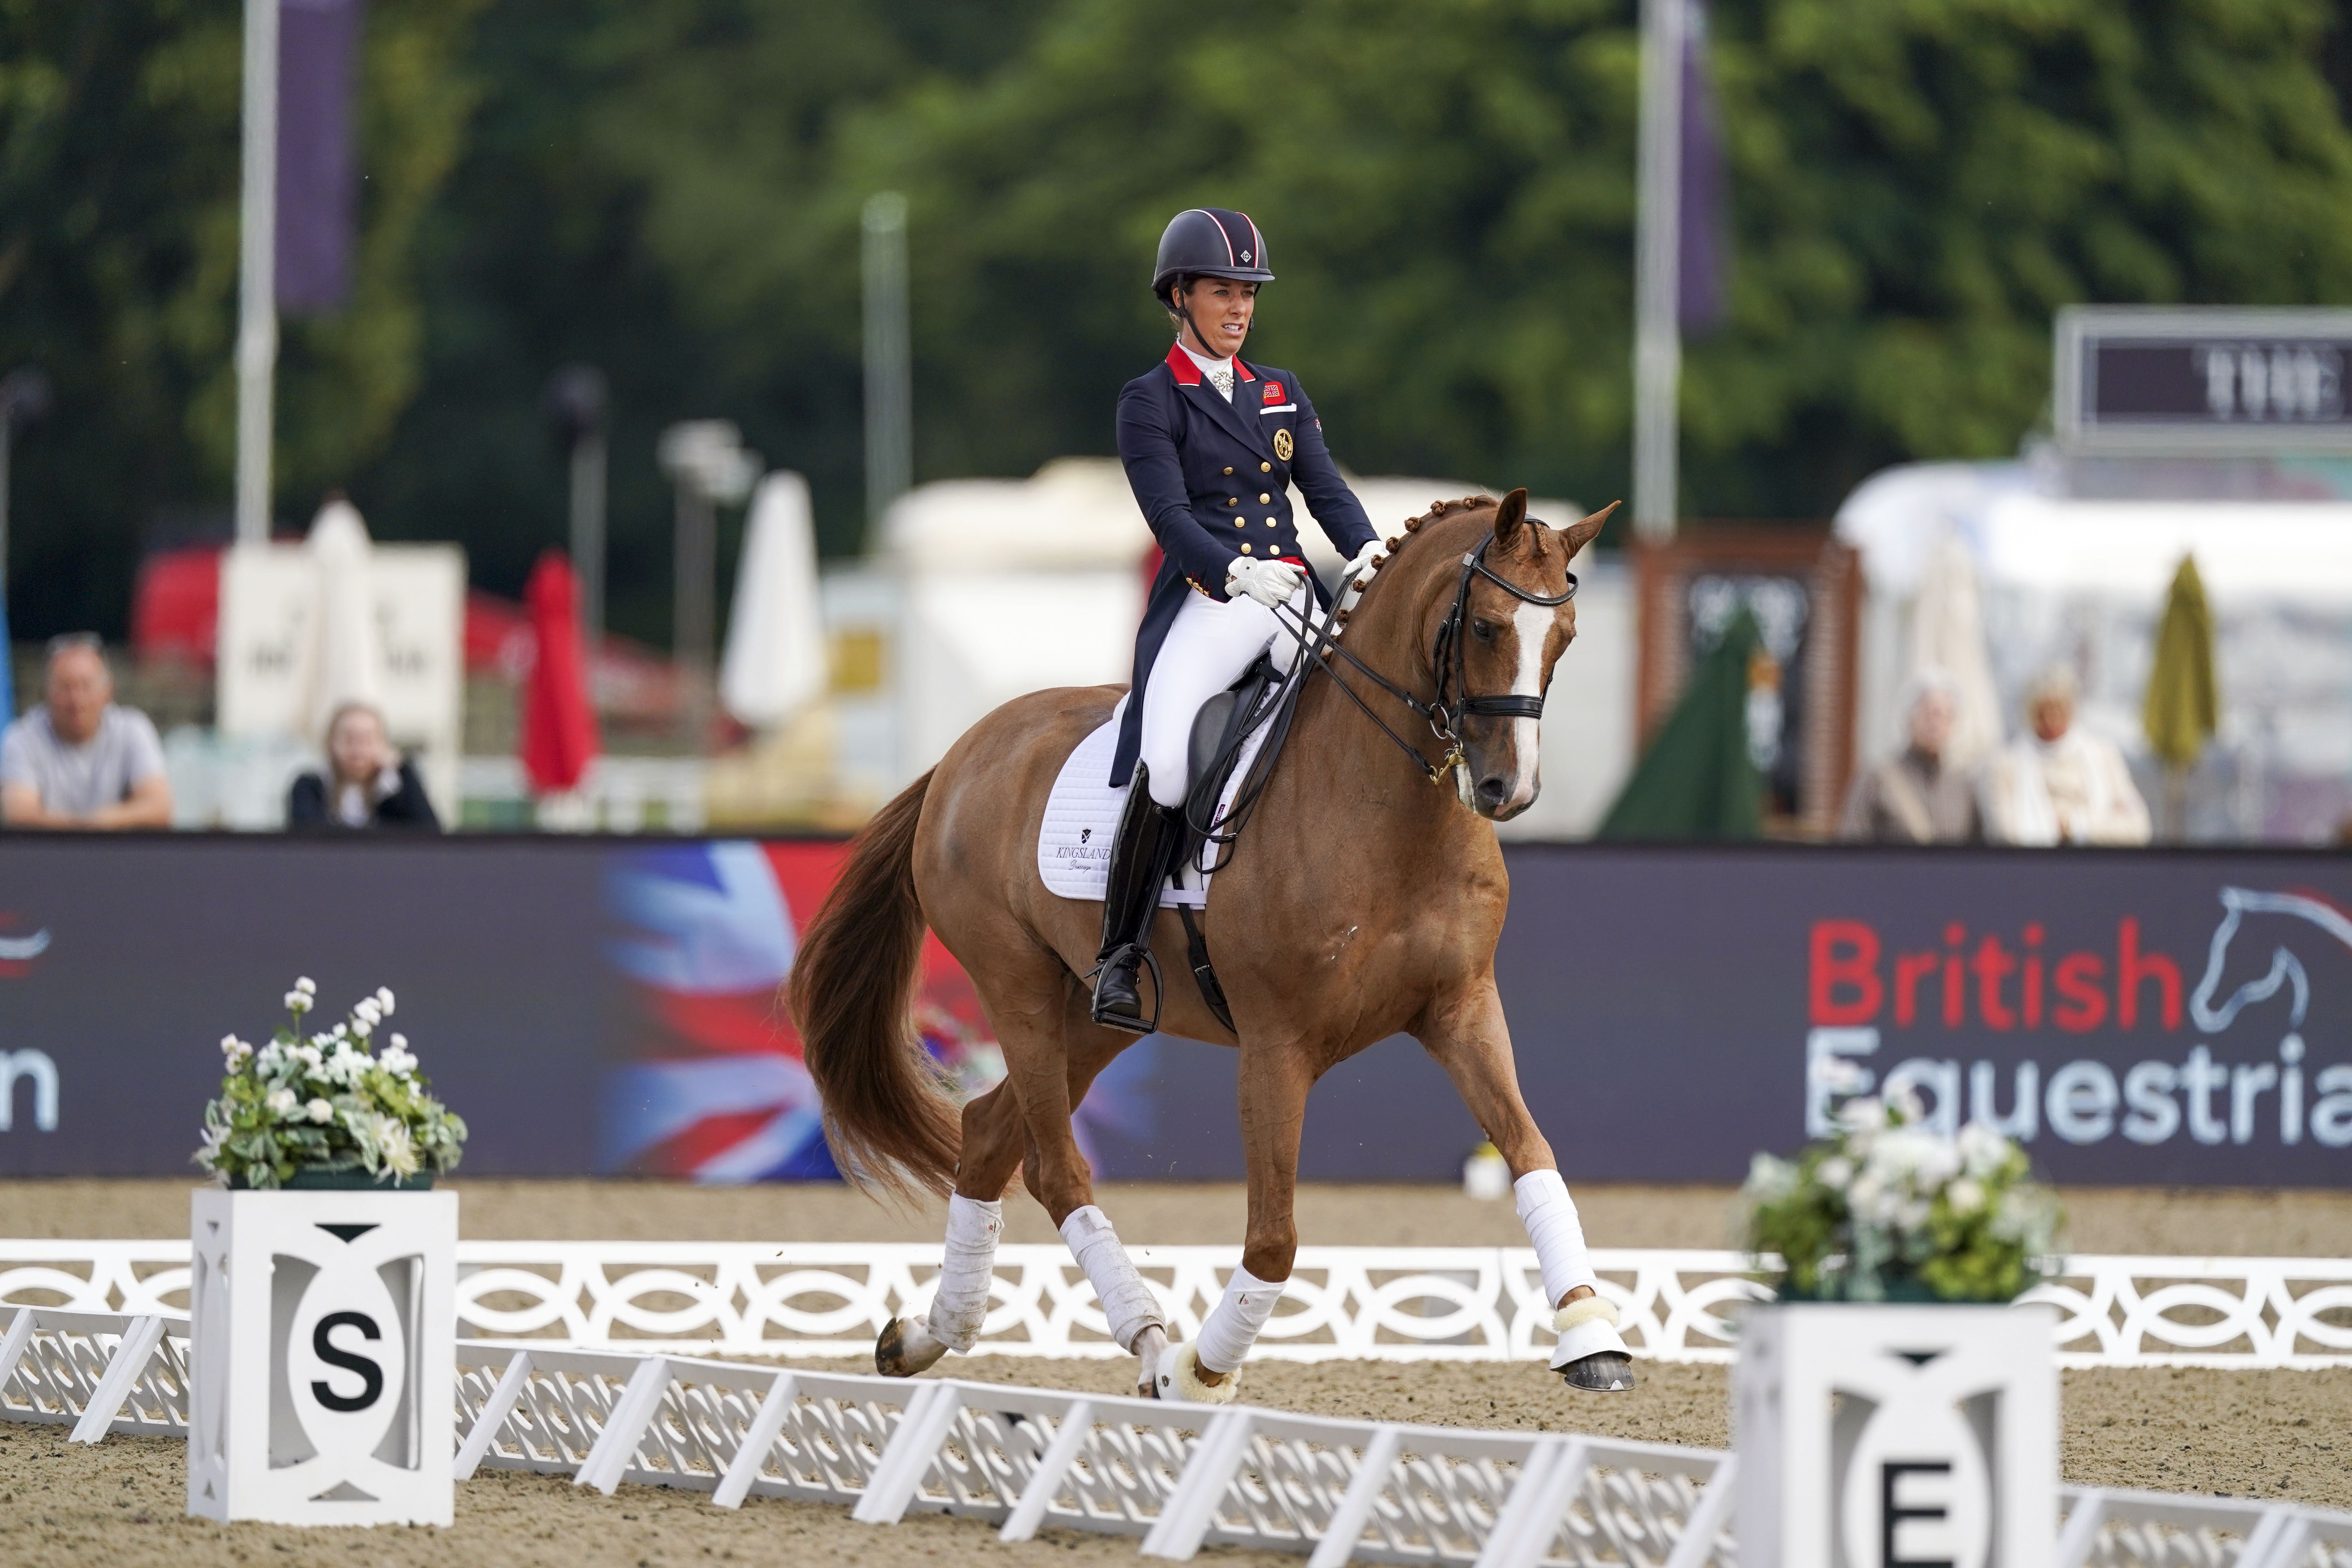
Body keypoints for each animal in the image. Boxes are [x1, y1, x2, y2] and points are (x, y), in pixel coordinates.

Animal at [786, 486, 1618, 1401]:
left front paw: (1592, 1334)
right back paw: (1152, 1348)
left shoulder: (1461, 1007)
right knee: (1056, 1167)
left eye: (1566, 636)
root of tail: (961, 756)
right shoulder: (1275, 1046)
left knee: (991, 1135)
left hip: (1093, 1015)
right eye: (1487, 629)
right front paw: (1200, 1371)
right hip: (1018, 988)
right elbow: (1275, 1239)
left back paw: (928, 1335)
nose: (1510, 790)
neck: (1388, 807)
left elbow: (1533, 1153)